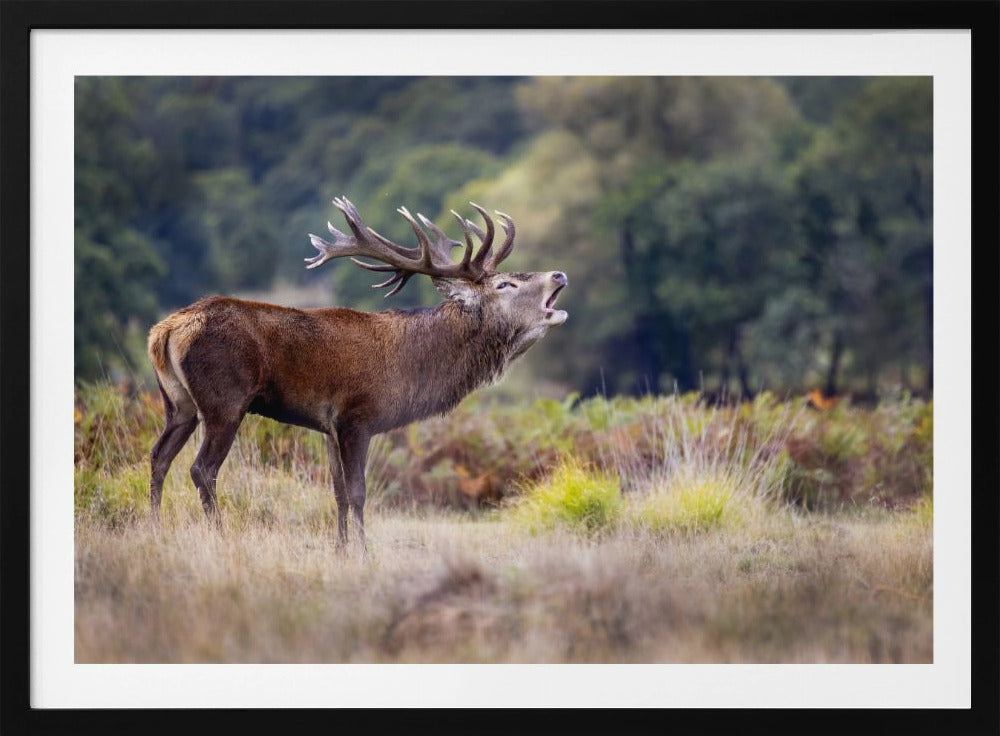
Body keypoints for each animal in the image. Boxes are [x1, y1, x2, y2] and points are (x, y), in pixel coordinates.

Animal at [146, 197, 568, 549]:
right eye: (504, 284)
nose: (559, 275)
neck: (412, 368)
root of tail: (165, 331)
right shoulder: (356, 418)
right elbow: (358, 492)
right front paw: (364, 551)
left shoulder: (328, 426)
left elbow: (337, 492)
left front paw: (341, 549)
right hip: (225, 401)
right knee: (202, 469)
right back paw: (218, 534)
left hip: (178, 404)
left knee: (158, 456)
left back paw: (154, 527)